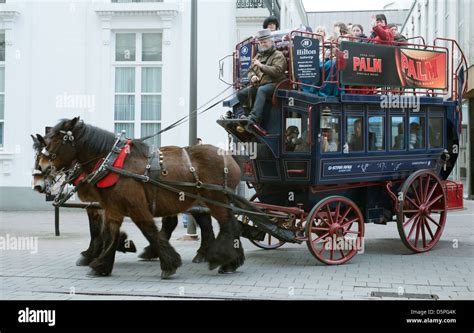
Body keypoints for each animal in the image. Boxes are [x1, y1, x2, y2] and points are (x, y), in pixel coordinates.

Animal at [37, 117, 244, 278]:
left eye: (57, 139)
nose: (42, 168)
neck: (114, 163)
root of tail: (229, 157)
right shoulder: (112, 207)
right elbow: (109, 233)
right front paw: (101, 265)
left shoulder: (136, 207)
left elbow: (149, 231)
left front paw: (169, 264)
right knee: (229, 223)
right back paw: (232, 260)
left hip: (215, 199)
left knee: (227, 224)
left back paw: (221, 259)